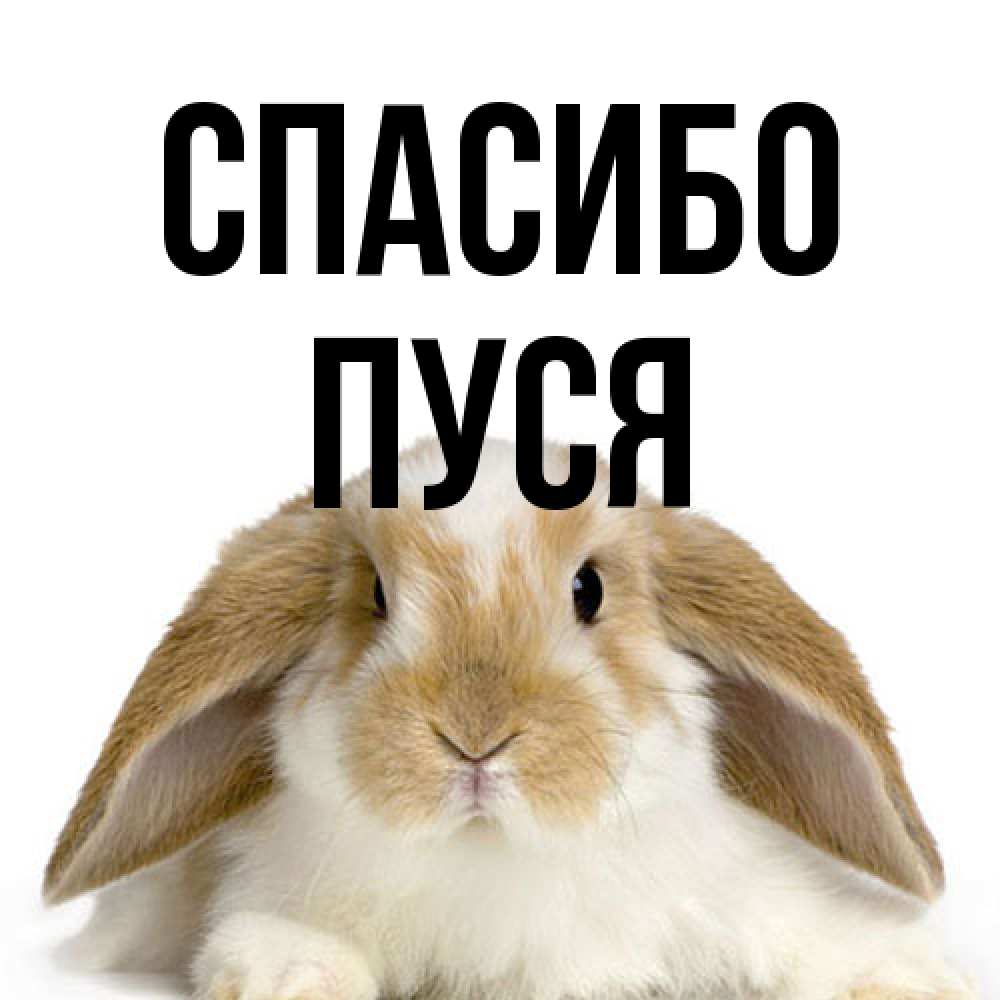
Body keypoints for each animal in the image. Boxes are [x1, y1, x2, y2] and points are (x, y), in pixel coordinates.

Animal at [45, 438, 975, 1000]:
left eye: (589, 589)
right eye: (376, 596)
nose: (475, 737)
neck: (495, 857)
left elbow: (819, 939)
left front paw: (909, 978)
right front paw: (290, 977)